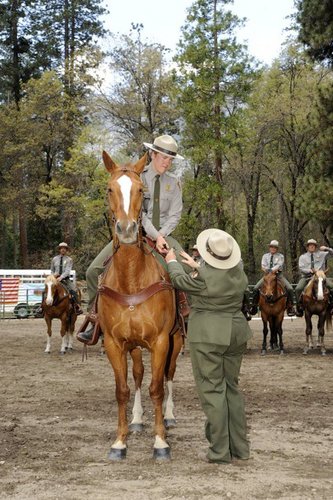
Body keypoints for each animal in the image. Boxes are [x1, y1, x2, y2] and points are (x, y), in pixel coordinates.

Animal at [97, 151, 183, 460]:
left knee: (168, 375)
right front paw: (119, 442)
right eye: (110, 189)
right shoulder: (114, 343)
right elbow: (122, 389)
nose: (126, 230)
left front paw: (160, 442)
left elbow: (157, 388)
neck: (131, 279)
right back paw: (135, 420)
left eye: (140, 190)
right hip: (134, 347)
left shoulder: (161, 341)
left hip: (176, 340)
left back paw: (169, 417)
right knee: (137, 376)